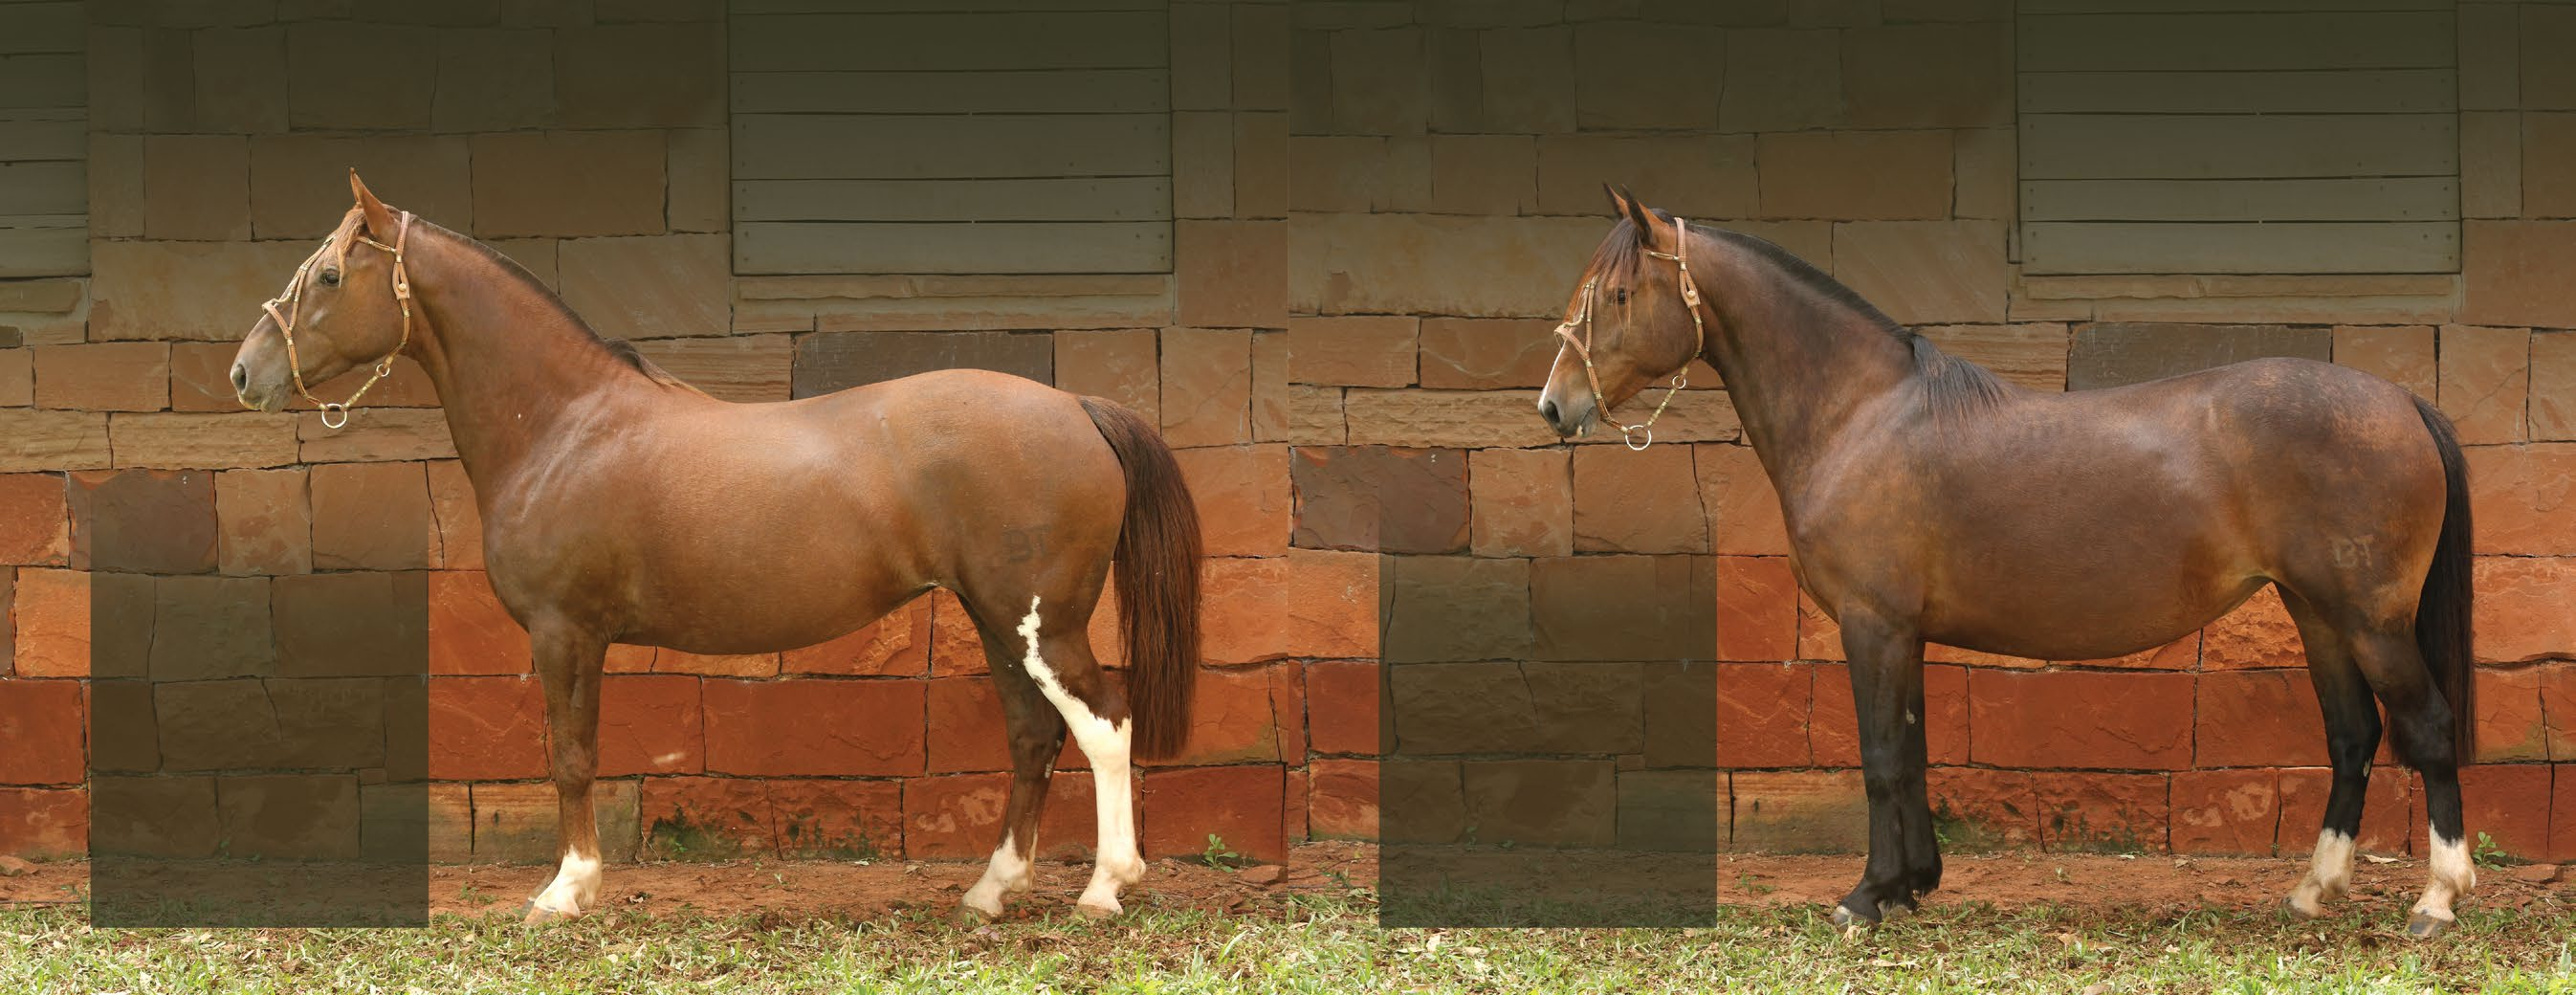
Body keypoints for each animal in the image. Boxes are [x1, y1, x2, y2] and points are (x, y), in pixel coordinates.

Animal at [231, 172, 1195, 922]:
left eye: (328, 274)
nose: (246, 373)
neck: (565, 425)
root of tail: (1078, 409)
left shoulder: (564, 632)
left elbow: (570, 756)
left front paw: (565, 892)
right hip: (997, 621)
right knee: (1034, 736)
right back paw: (992, 892)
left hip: (1039, 623)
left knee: (1104, 724)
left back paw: (1105, 889)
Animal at [1535, 187, 2483, 938]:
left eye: (1617, 295)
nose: (1554, 405)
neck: (1859, 414)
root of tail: (2401, 399)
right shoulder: (1902, 632)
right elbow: (1911, 751)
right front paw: (1913, 884)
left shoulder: (1872, 626)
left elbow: (1880, 757)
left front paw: (1865, 897)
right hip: (2316, 613)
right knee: (2353, 735)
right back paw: (2312, 890)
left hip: (2370, 620)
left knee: (2426, 730)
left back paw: (2435, 901)